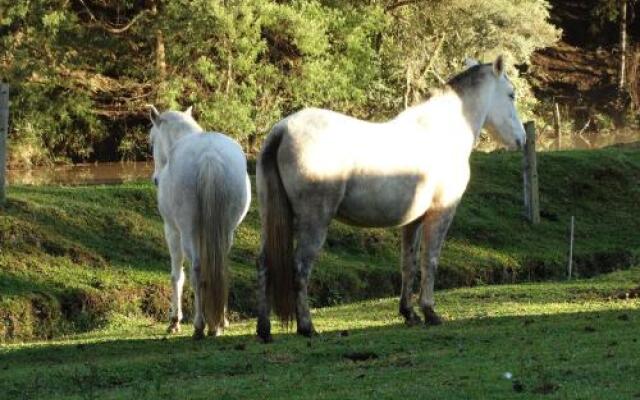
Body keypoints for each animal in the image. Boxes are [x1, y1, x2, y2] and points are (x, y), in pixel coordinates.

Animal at [149, 105, 251, 338]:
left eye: (151, 141)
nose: (156, 179)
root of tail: (209, 156)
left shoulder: (172, 231)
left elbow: (177, 276)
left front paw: (174, 321)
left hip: (187, 232)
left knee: (196, 269)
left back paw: (199, 325)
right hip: (226, 231)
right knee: (220, 266)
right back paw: (218, 323)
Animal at [255, 54, 524, 340]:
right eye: (511, 94)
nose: (521, 138)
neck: (441, 132)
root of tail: (283, 129)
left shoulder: (413, 220)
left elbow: (409, 263)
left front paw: (409, 313)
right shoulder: (441, 212)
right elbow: (430, 260)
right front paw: (430, 312)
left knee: (264, 264)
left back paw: (264, 329)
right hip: (313, 221)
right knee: (300, 267)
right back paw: (307, 327)